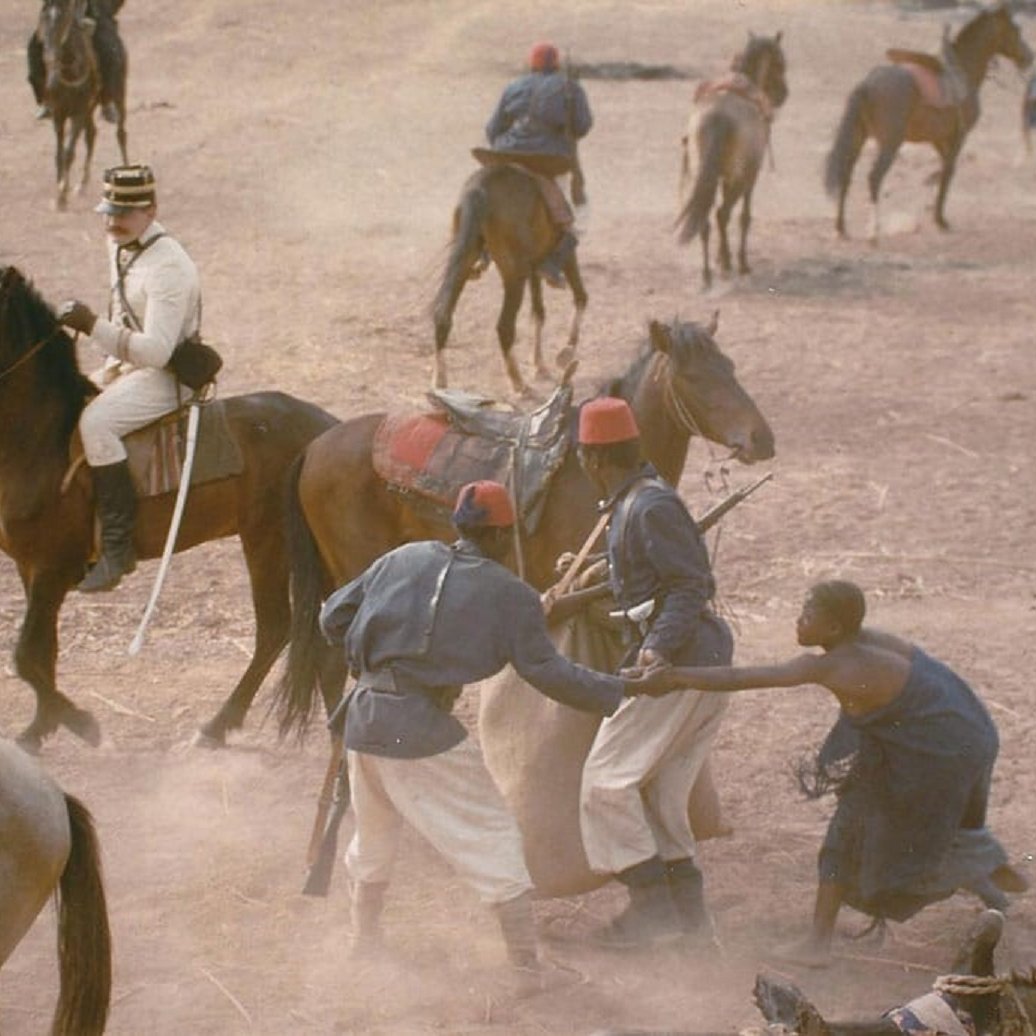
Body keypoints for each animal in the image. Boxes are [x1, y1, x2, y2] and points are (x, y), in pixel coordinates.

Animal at [0, 266, 340, 752]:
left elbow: (26, 656)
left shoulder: (52, 570)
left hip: (268, 543)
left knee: (277, 627)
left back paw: (217, 726)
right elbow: (43, 654)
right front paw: (38, 729)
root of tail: (327, 429)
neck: (40, 443)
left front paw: (82, 724)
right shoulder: (32, 571)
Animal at [432, 161, 587, 397]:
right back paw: (518, 383)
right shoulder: (565, 256)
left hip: (465, 260)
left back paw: (440, 381)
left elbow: (538, 312)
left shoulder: (534, 268)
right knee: (504, 326)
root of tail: (480, 188)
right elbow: (580, 297)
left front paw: (540, 365)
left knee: (443, 314)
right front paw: (567, 351)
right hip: (514, 274)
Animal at [676, 31, 789, 289]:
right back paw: (729, 264)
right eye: (780, 63)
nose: (783, 95)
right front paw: (739, 262)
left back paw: (707, 274)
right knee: (722, 214)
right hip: (737, 178)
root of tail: (717, 116)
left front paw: (720, 258)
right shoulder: (749, 176)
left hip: (704, 178)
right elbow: (744, 217)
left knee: (706, 220)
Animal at [824, 2, 1033, 240]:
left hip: (858, 138)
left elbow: (944, 170)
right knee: (874, 177)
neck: (963, 71)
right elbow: (948, 172)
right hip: (889, 144)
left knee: (846, 175)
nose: (1029, 56)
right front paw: (940, 220)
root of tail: (867, 84)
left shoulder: (938, 139)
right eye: (1016, 29)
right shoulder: (958, 137)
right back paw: (873, 232)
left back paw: (841, 228)